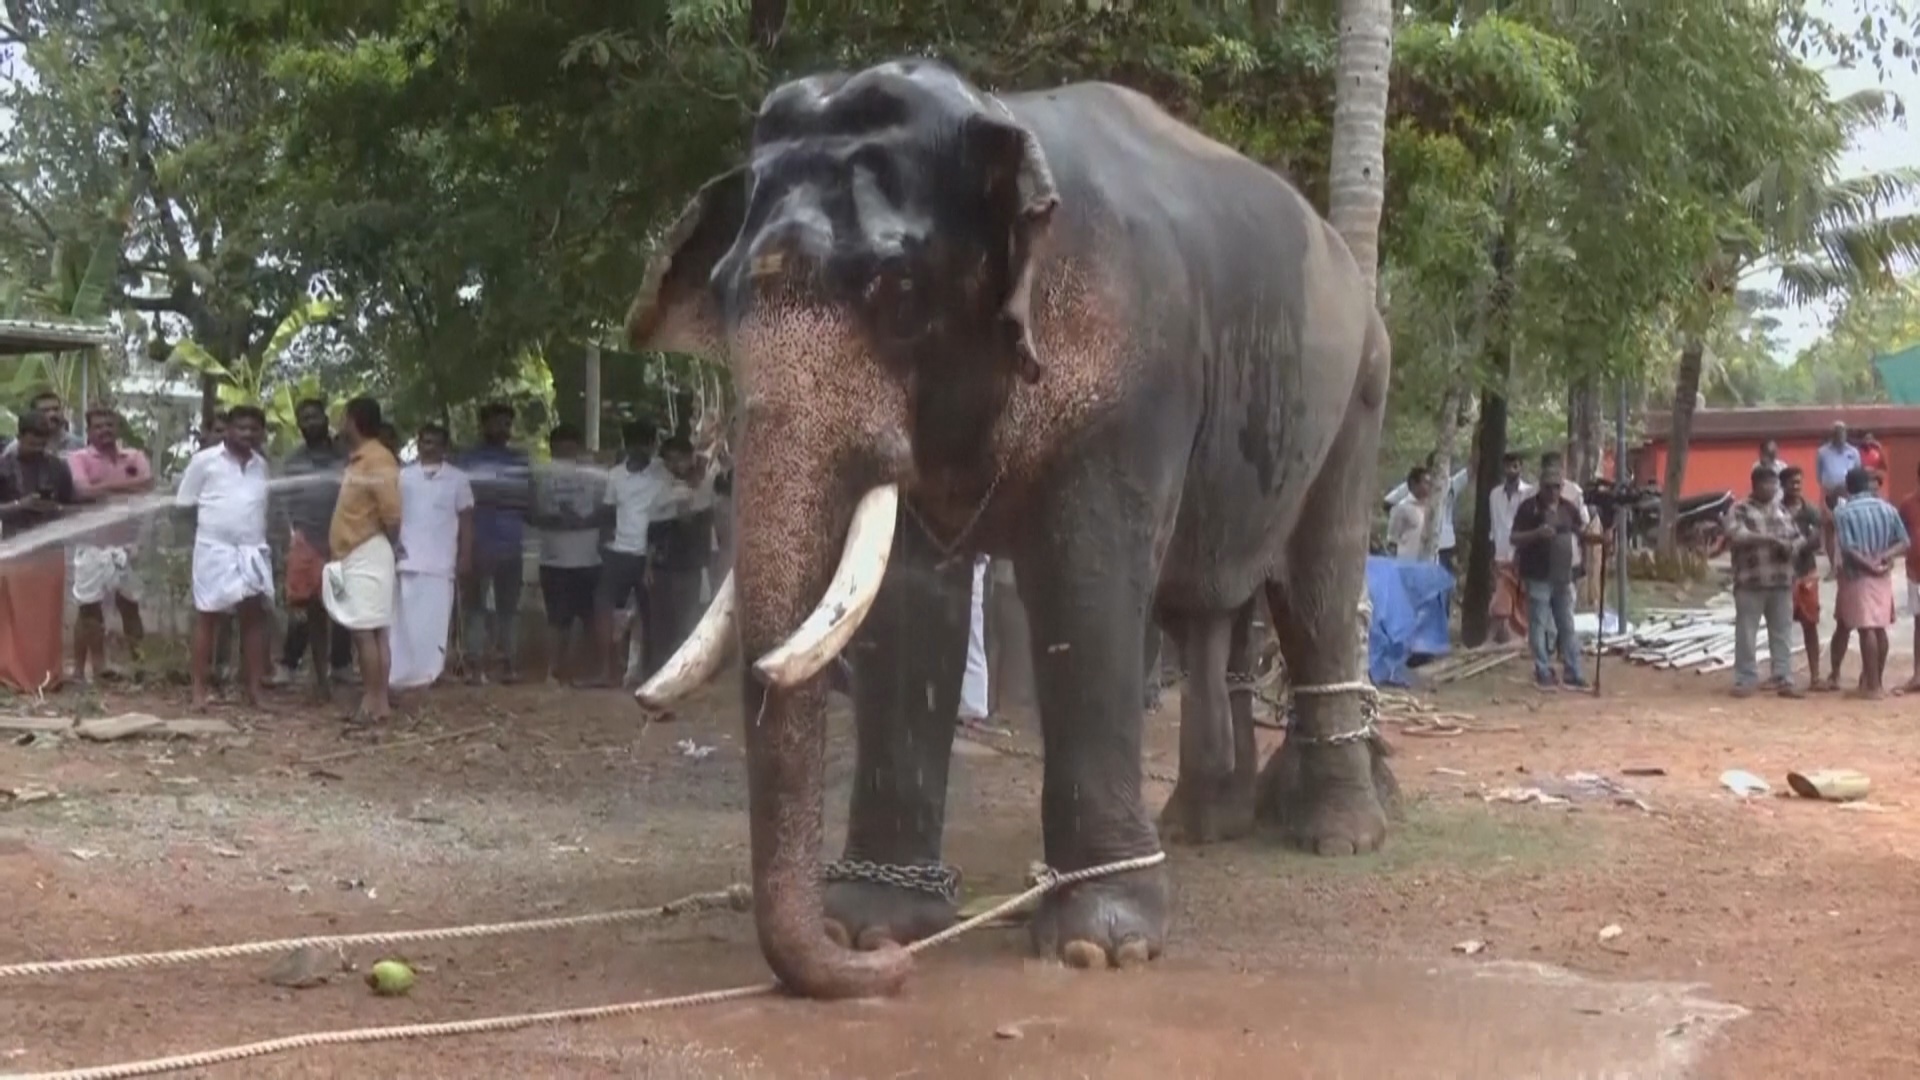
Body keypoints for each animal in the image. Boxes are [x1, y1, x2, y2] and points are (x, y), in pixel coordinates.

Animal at [627, 59, 1397, 1000]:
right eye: (725, 294)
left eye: (900, 293)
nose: (879, 970)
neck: (999, 120)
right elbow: (909, 603)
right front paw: (877, 924)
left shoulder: (1129, 381)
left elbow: (1085, 585)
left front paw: (1101, 946)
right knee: (1207, 611)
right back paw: (1201, 825)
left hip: (1360, 393)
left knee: (1318, 589)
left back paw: (1340, 835)